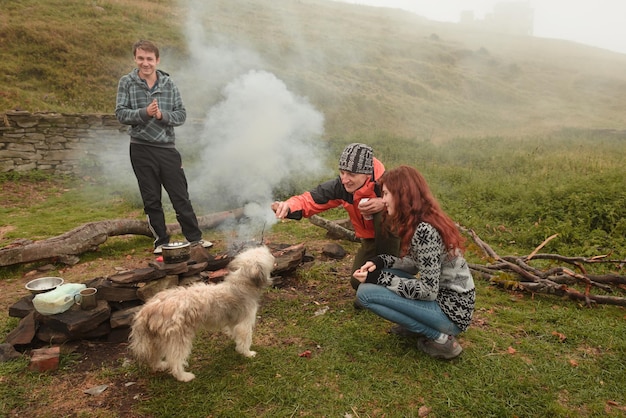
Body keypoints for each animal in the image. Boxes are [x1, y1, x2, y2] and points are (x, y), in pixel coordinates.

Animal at [128, 245, 274, 382]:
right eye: (266, 254)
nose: (272, 255)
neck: (243, 283)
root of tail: (147, 308)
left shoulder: (234, 321)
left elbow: (236, 333)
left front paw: (237, 345)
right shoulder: (245, 323)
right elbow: (245, 339)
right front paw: (247, 353)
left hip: (155, 339)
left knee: (154, 356)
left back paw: (159, 366)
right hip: (179, 339)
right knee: (174, 361)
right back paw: (183, 376)